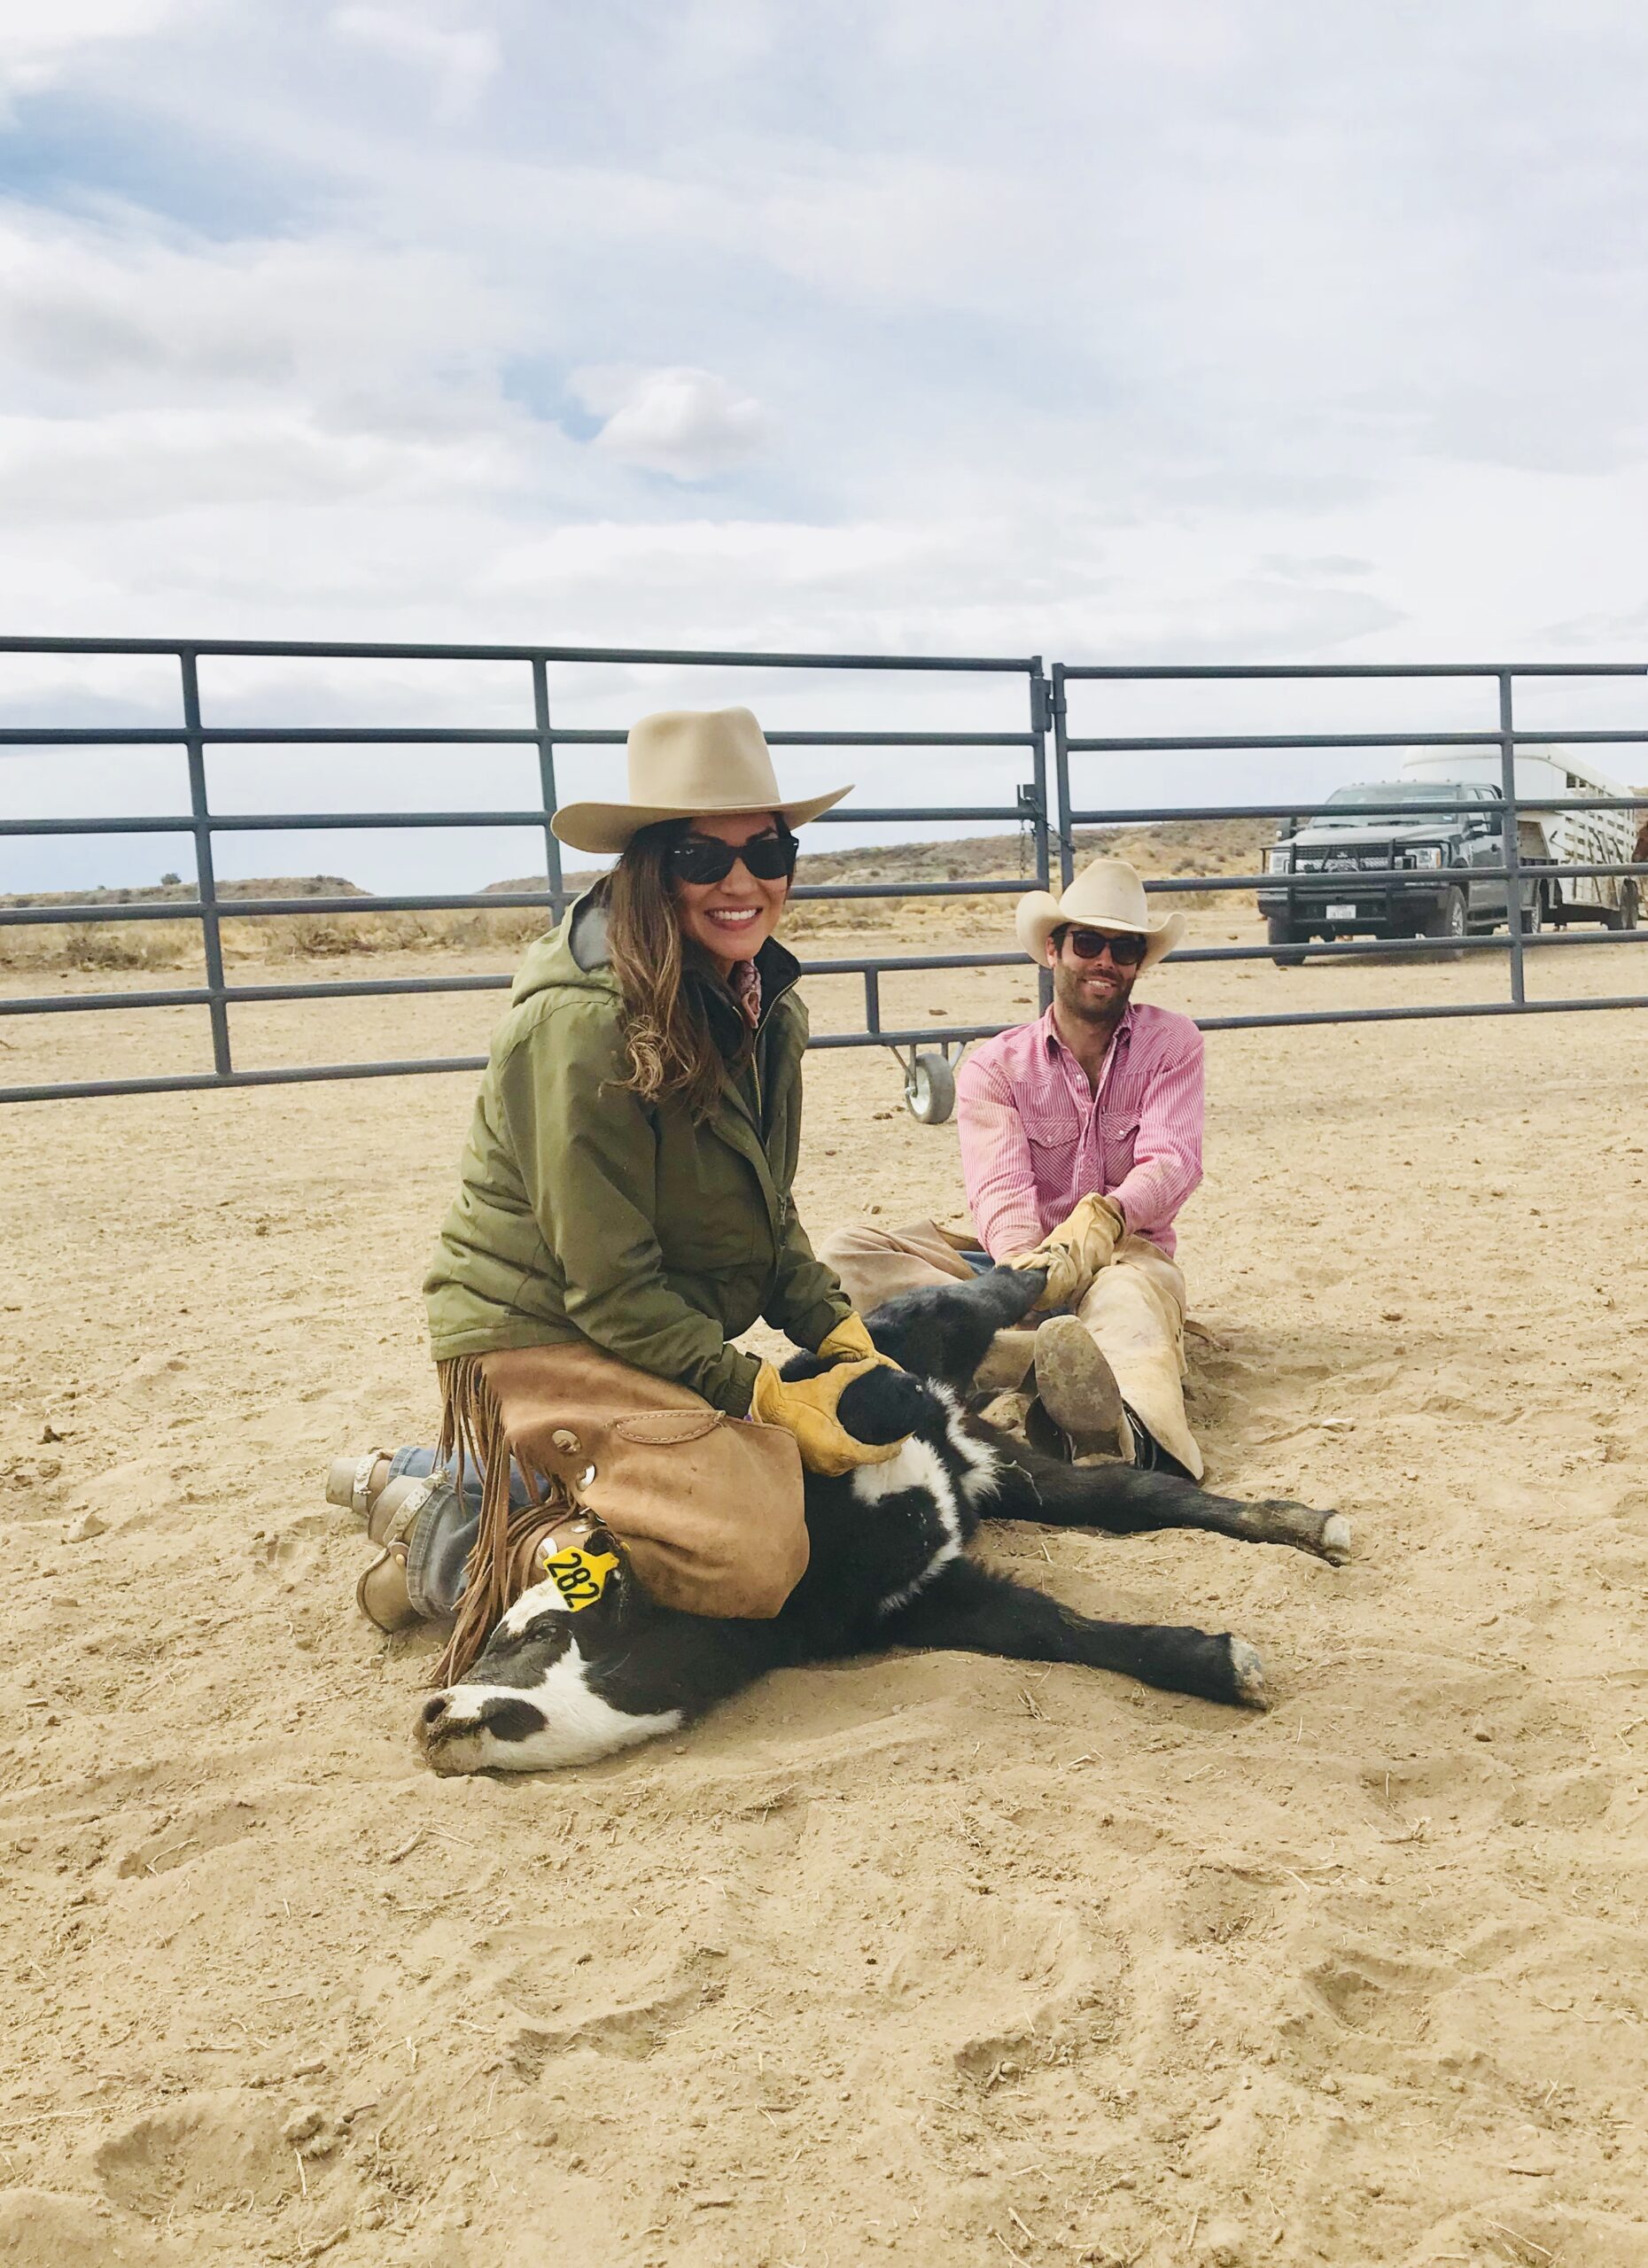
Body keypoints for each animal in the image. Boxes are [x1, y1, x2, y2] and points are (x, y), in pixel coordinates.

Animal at [415, 1278, 1350, 1768]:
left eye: (533, 1634)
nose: (432, 1716)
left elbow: (863, 1396)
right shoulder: (935, 1601)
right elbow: (1059, 1630)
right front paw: (1219, 1662)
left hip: (942, 1367)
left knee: (979, 1293)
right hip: (1005, 1468)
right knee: (1131, 1496)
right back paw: (1306, 1526)